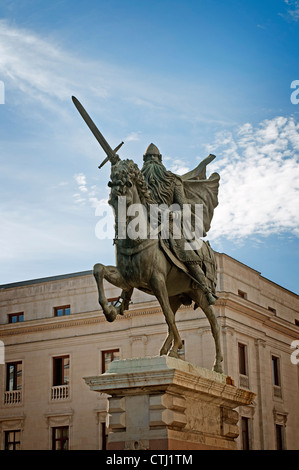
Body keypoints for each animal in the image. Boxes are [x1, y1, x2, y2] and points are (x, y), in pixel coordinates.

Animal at [94, 159, 225, 374]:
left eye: (126, 193)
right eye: (111, 201)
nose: (118, 231)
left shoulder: (157, 280)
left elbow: (168, 316)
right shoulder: (127, 279)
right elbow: (98, 269)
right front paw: (110, 311)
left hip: (198, 293)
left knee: (213, 323)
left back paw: (218, 365)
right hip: (177, 295)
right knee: (172, 314)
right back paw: (168, 351)